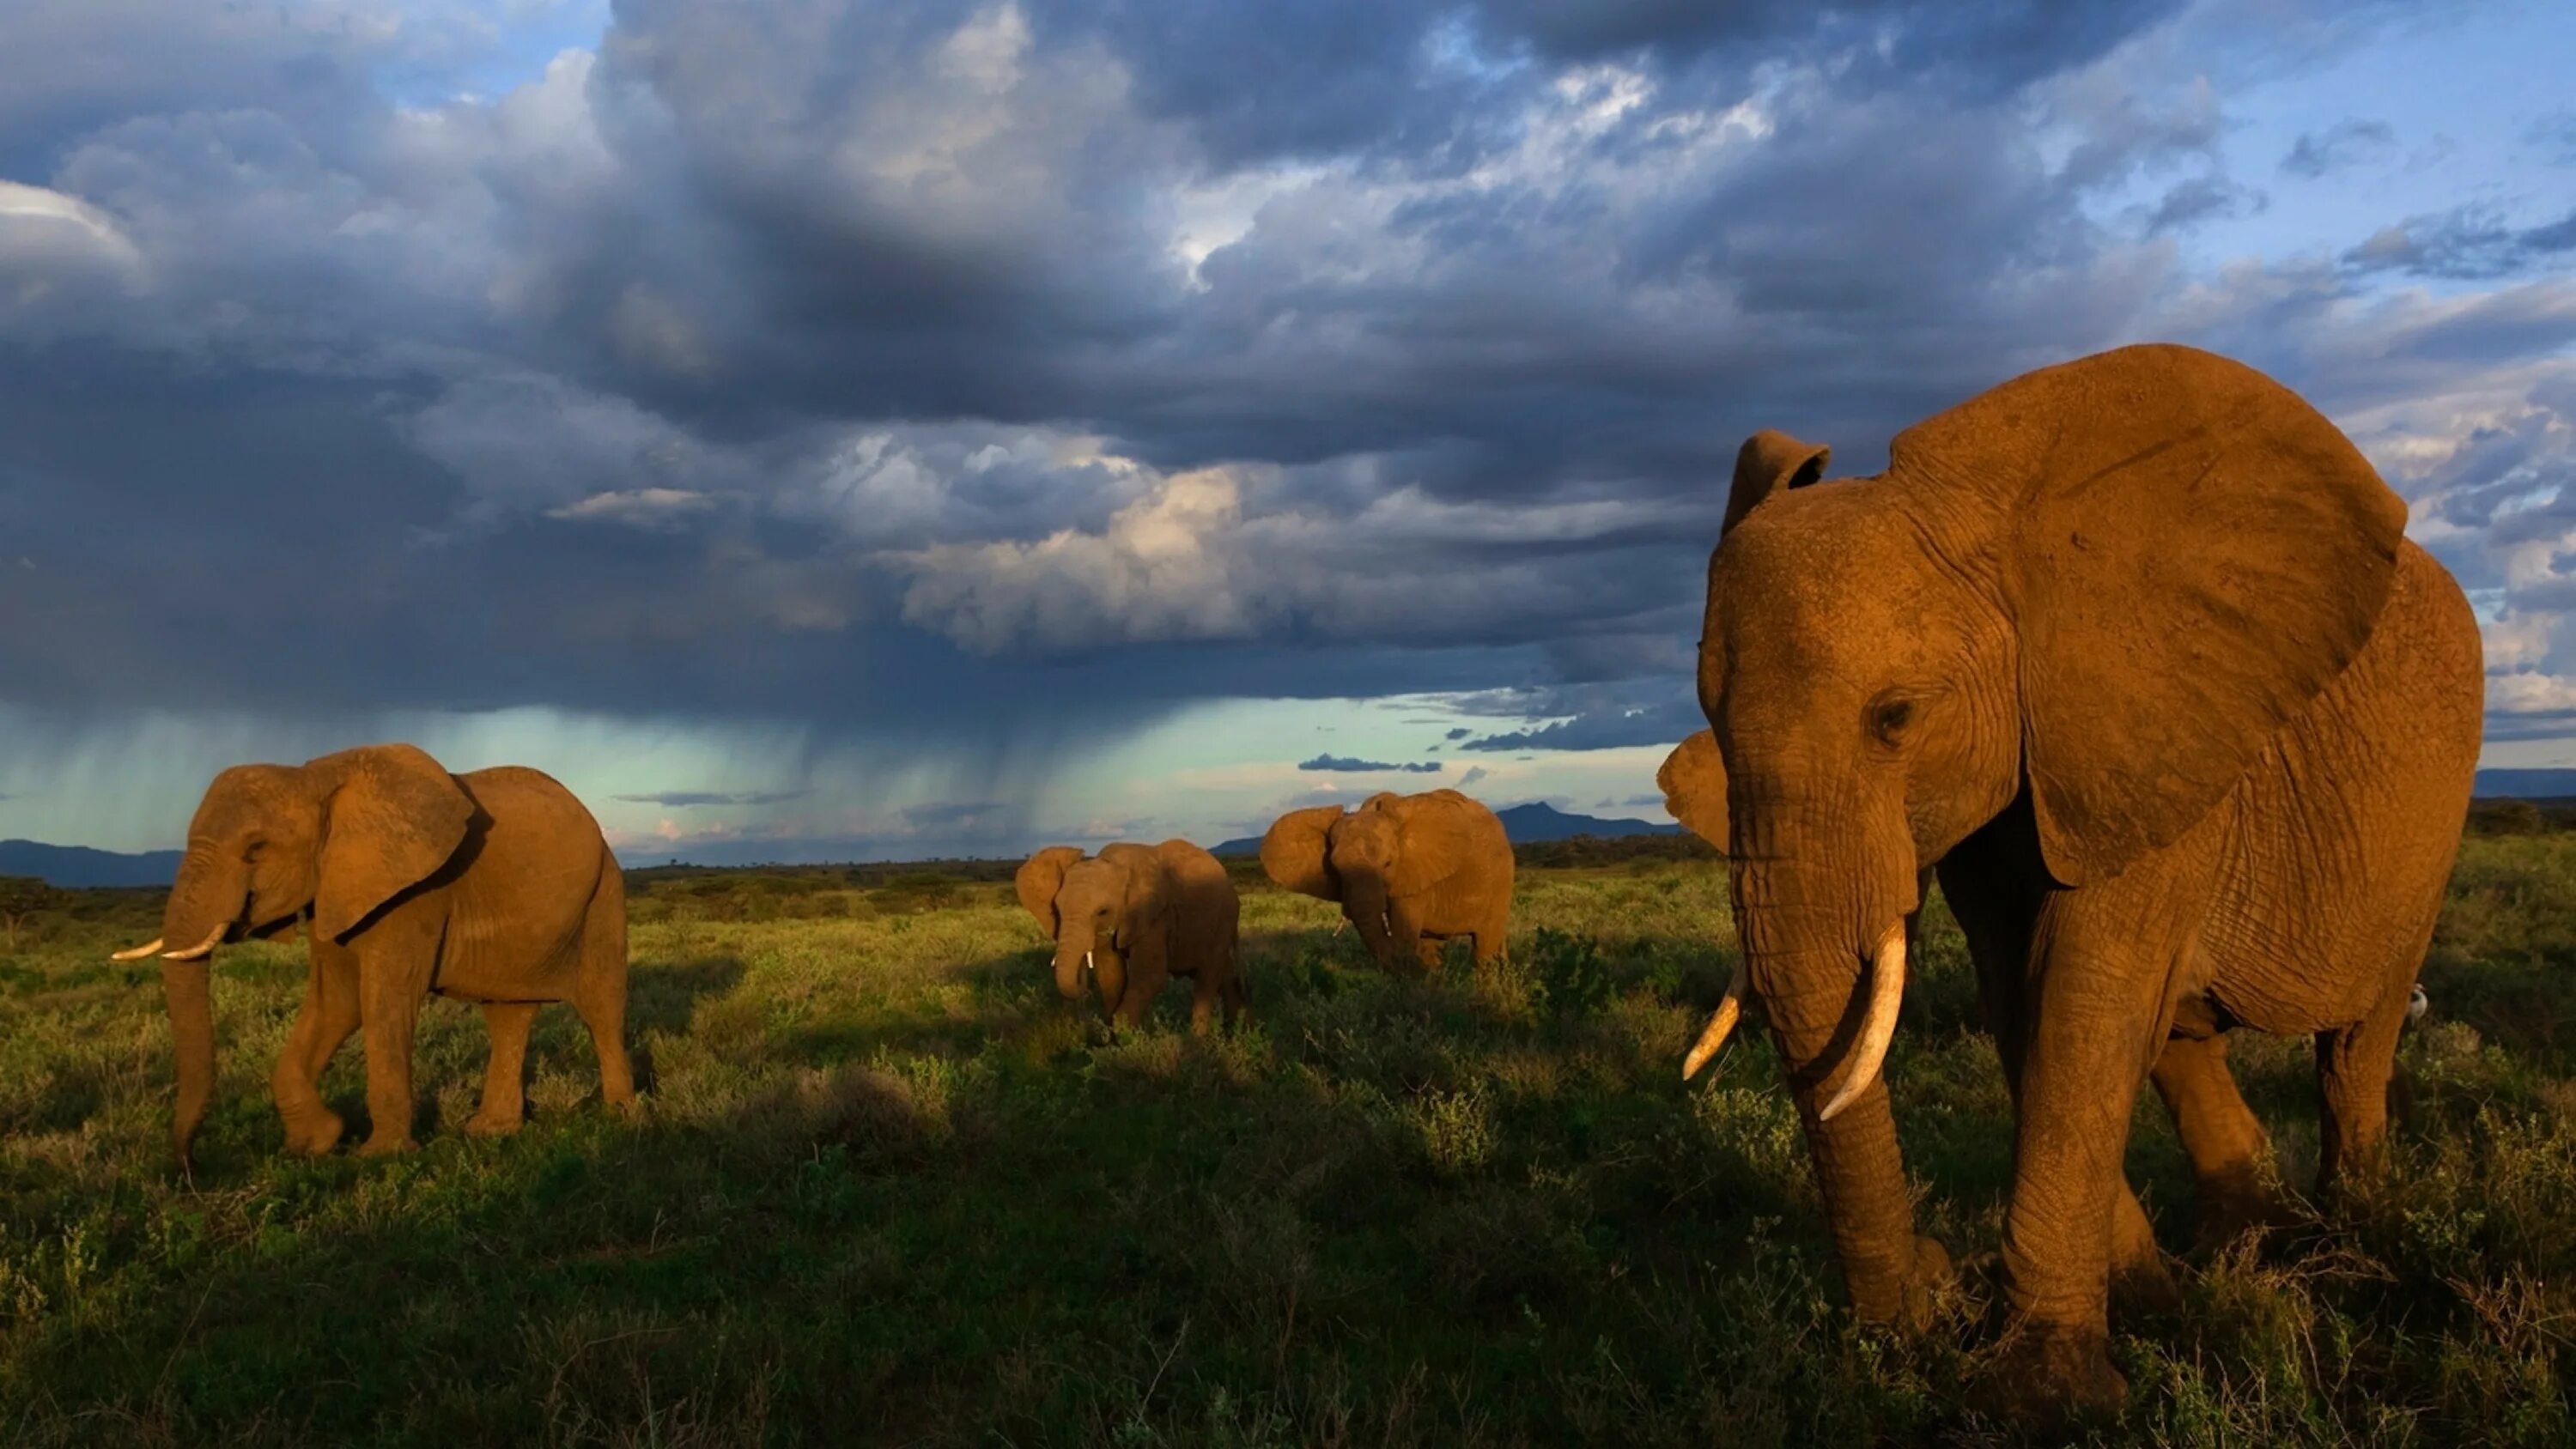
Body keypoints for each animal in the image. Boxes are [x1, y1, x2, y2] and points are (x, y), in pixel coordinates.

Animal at [112, 746, 639, 1168]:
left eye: (256, 849)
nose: (189, 1167)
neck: (314, 778)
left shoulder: (416, 894)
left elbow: (384, 1002)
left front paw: (379, 1157)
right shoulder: (331, 888)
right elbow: (337, 1001)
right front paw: (317, 1143)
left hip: (605, 895)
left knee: (601, 1006)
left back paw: (621, 1118)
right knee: (508, 1016)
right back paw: (490, 1132)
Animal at [1010, 839, 1242, 1029]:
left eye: (1102, 912)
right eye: (1057, 910)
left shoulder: (1155, 917)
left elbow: (1150, 978)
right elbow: (1111, 974)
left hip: (1224, 919)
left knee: (1207, 978)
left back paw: (1199, 1041)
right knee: (1227, 977)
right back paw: (1233, 1032)